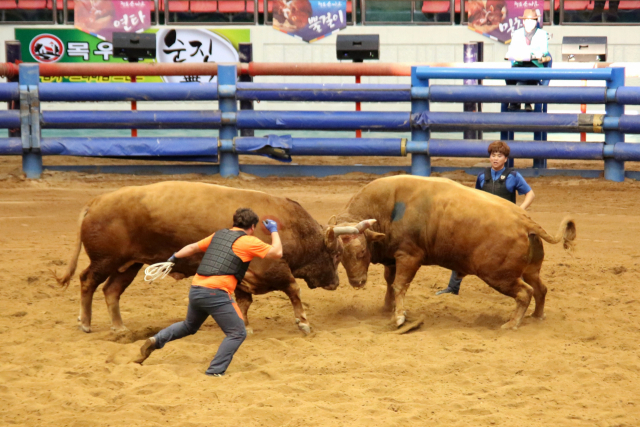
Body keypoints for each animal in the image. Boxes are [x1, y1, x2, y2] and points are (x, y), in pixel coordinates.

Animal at [55, 181, 370, 334]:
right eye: (337, 253)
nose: (336, 283)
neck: (290, 226)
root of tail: (96, 202)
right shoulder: (272, 267)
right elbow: (293, 289)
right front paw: (302, 322)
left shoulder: (245, 277)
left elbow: (244, 302)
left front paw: (244, 325)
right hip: (106, 260)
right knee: (88, 282)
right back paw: (85, 322)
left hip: (128, 265)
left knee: (111, 291)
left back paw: (119, 327)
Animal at [330, 176, 576, 330]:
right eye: (339, 256)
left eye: (362, 251)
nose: (357, 282)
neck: (388, 208)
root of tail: (524, 221)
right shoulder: (393, 258)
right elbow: (390, 283)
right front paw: (387, 308)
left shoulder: (409, 256)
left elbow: (399, 284)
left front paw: (399, 317)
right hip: (530, 270)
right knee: (540, 289)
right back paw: (537, 316)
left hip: (498, 275)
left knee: (525, 293)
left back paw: (511, 324)